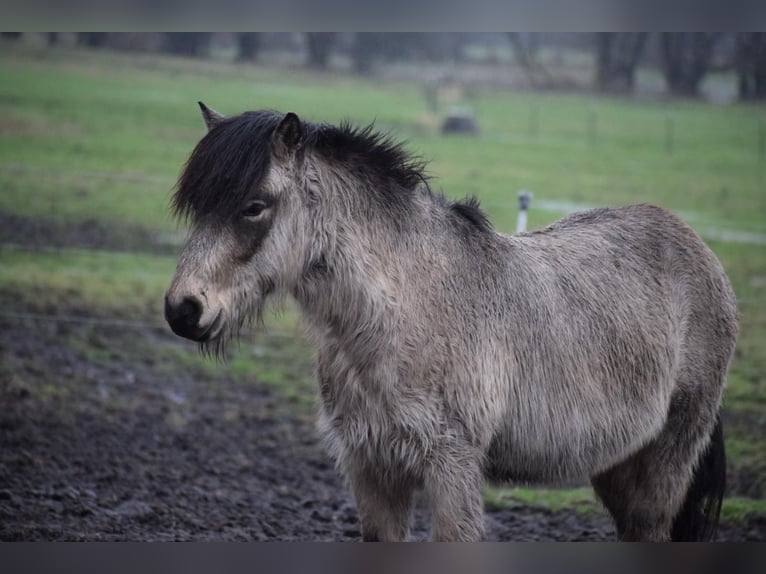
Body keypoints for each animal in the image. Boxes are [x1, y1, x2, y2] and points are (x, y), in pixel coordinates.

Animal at [165, 104, 740, 544]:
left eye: (254, 206)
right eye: (198, 208)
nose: (182, 310)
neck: (402, 314)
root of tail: (697, 248)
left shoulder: (452, 467)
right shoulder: (371, 468)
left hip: (665, 462)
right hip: (617, 465)